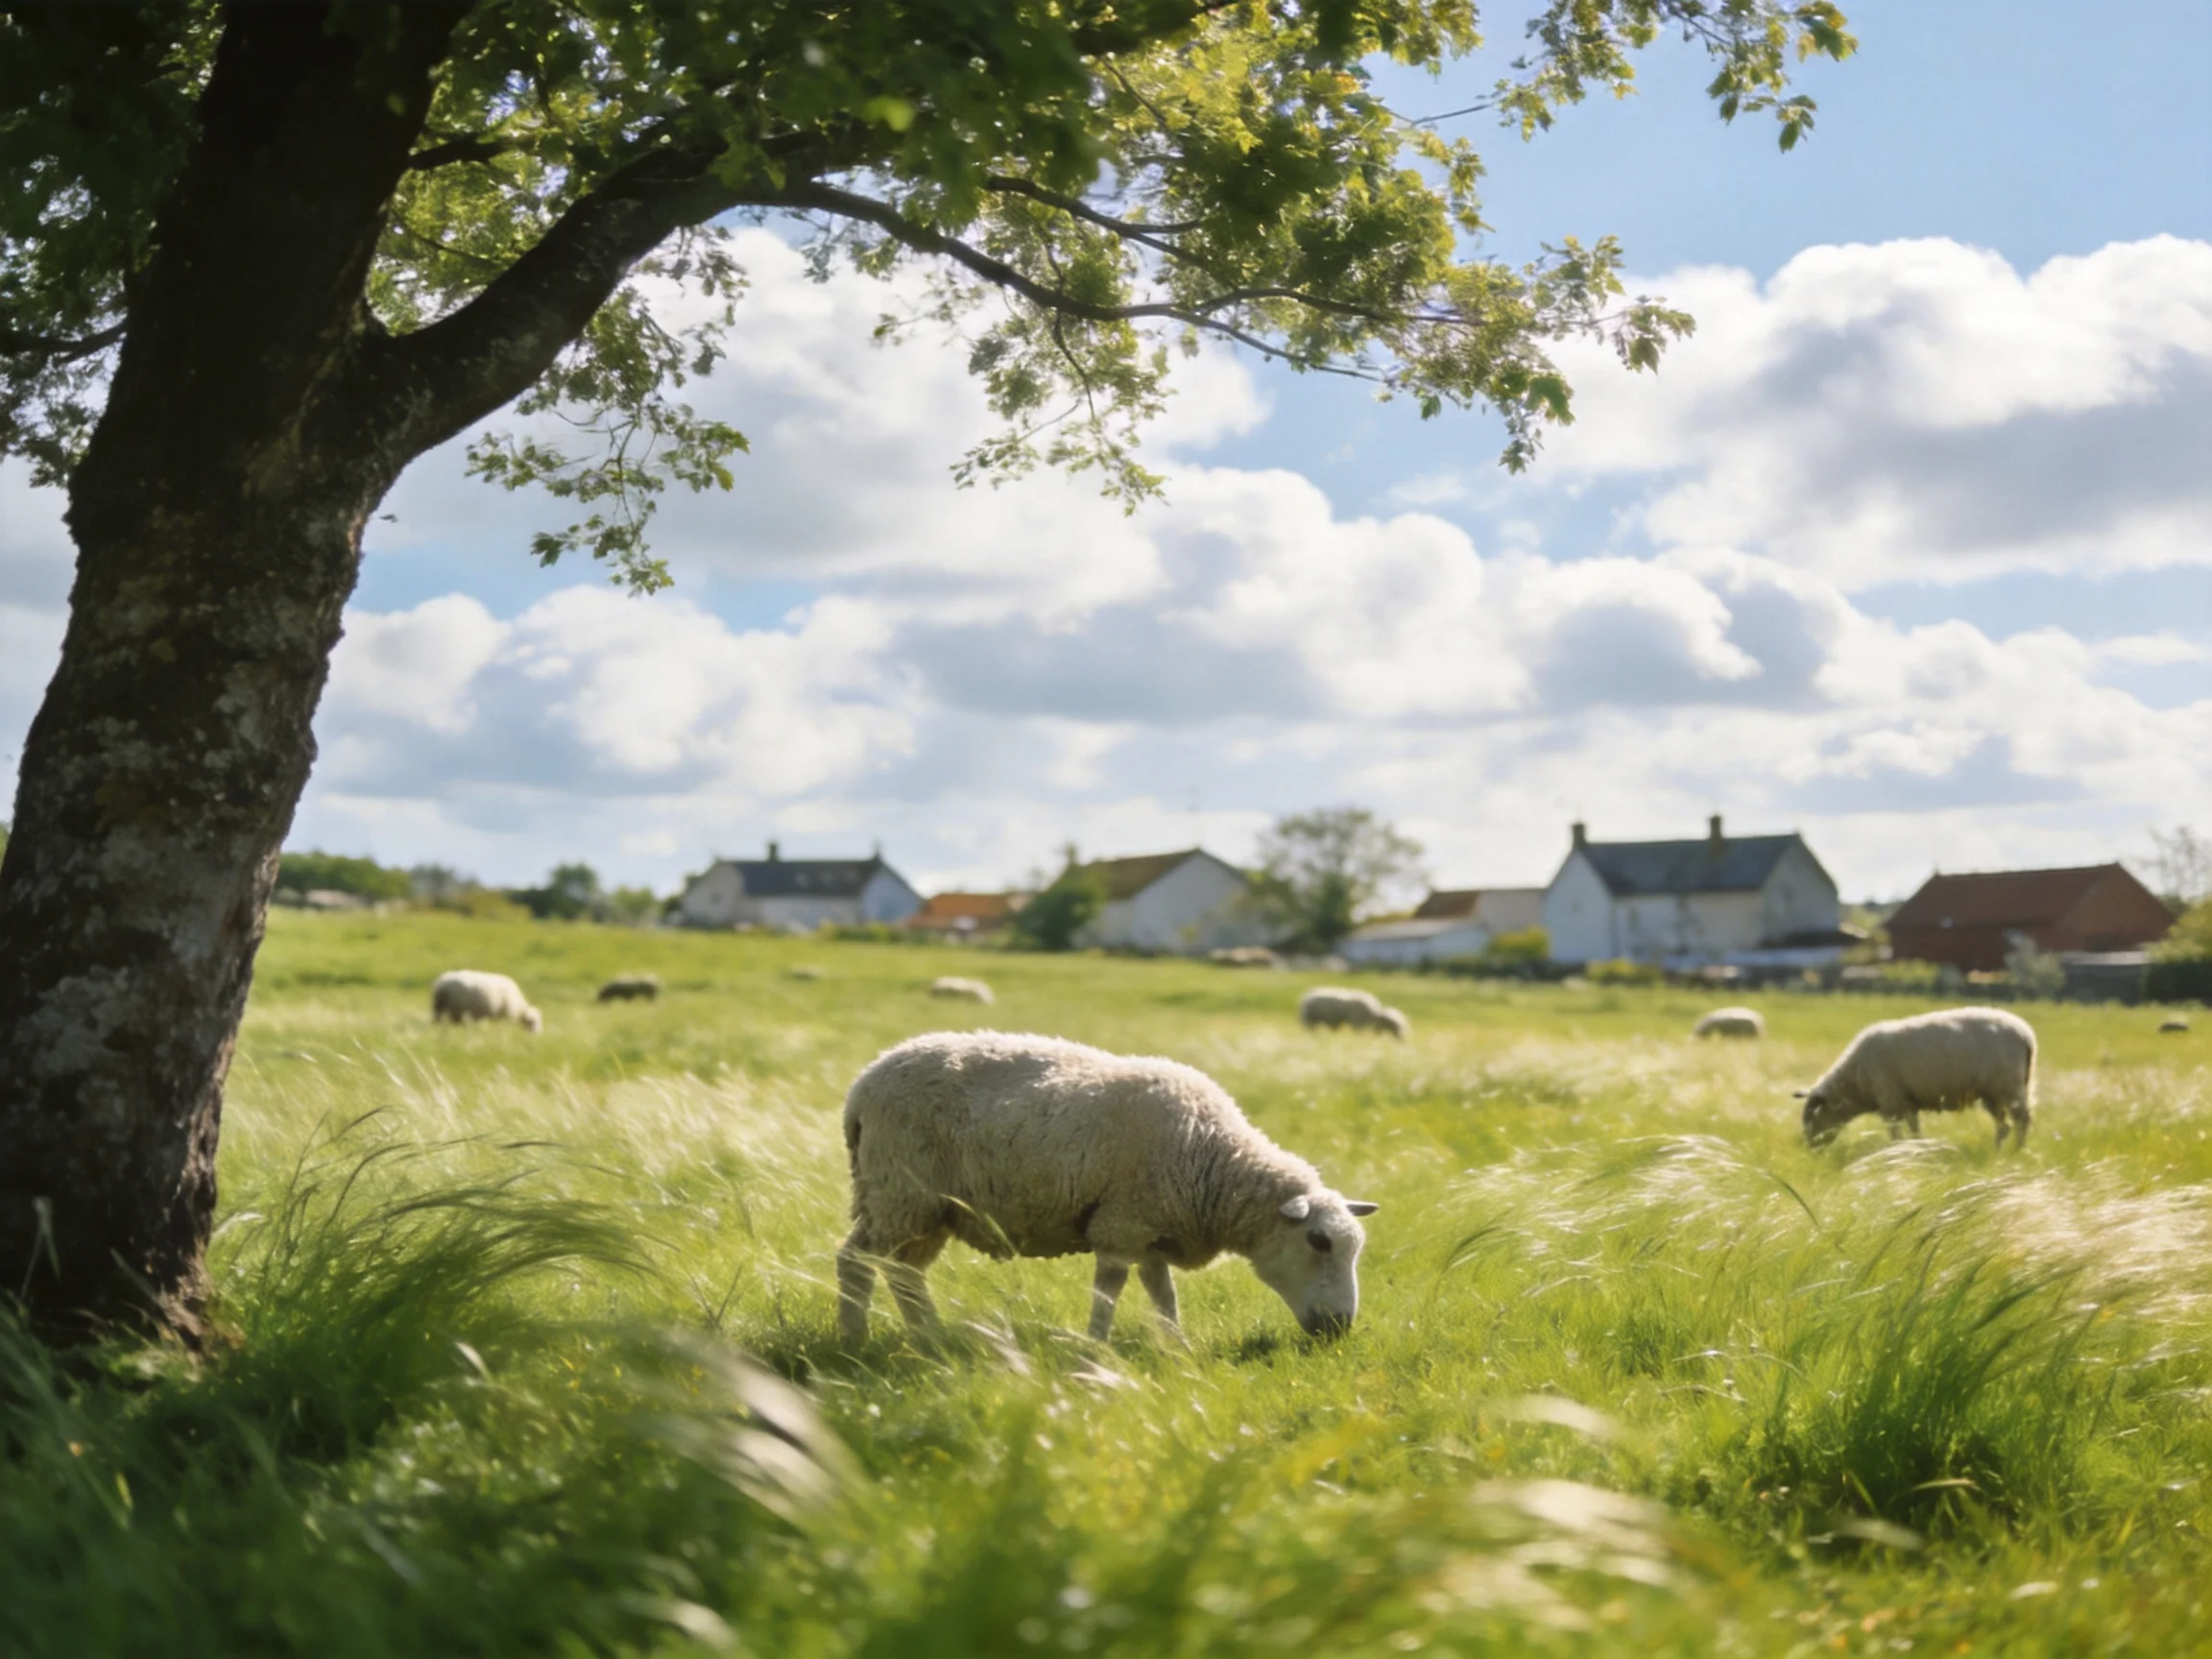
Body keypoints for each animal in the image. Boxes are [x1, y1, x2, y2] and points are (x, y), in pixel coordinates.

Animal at [836, 1031, 1378, 1347]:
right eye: (1319, 1242)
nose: (1340, 1328)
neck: (1211, 1157)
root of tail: (862, 1085)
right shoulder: (1121, 1224)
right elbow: (1109, 1291)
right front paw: (1095, 1348)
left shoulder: (1152, 1226)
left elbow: (1163, 1294)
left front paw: (1178, 1349)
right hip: (898, 1193)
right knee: (856, 1261)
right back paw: (854, 1338)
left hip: (926, 1210)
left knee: (904, 1272)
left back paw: (930, 1336)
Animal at [1797, 1006, 2036, 1150]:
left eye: (1812, 1118)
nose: (1812, 1151)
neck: (1854, 1083)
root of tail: (2026, 1035)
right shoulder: (1908, 1103)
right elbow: (1915, 1132)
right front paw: (1916, 1152)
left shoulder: (1891, 1104)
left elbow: (1895, 1135)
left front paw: (1896, 1155)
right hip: (1992, 1093)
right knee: (2004, 1126)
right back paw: (1997, 1152)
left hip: (2009, 1087)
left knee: (2022, 1121)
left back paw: (2017, 1152)